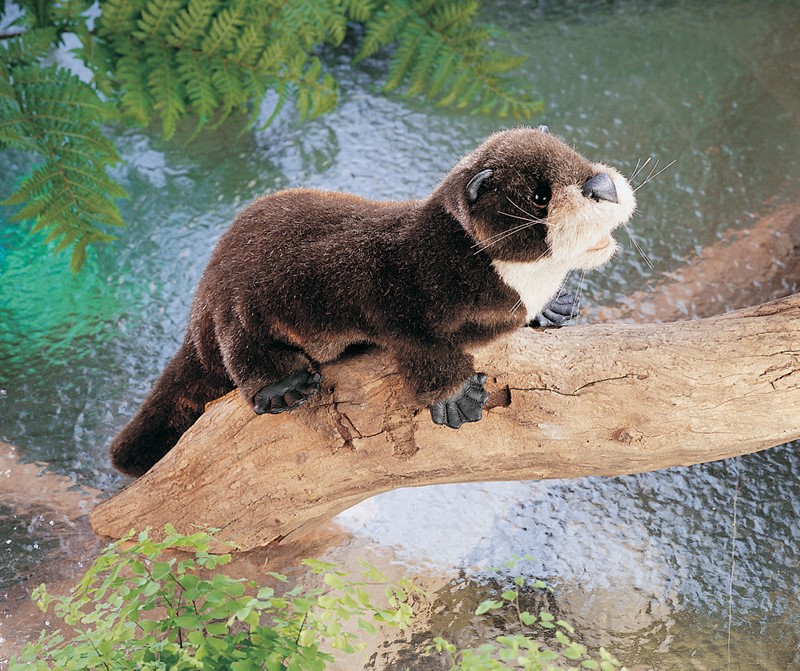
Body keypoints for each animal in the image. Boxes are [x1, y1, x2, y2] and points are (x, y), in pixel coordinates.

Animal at [110, 126, 636, 477]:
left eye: (577, 157)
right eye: (540, 196)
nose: (601, 186)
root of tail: (199, 304)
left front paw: (553, 308)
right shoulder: (400, 294)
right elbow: (422, 348)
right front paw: (456, 397)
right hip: (236, 305)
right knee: (240, 348)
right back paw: (281, 386)